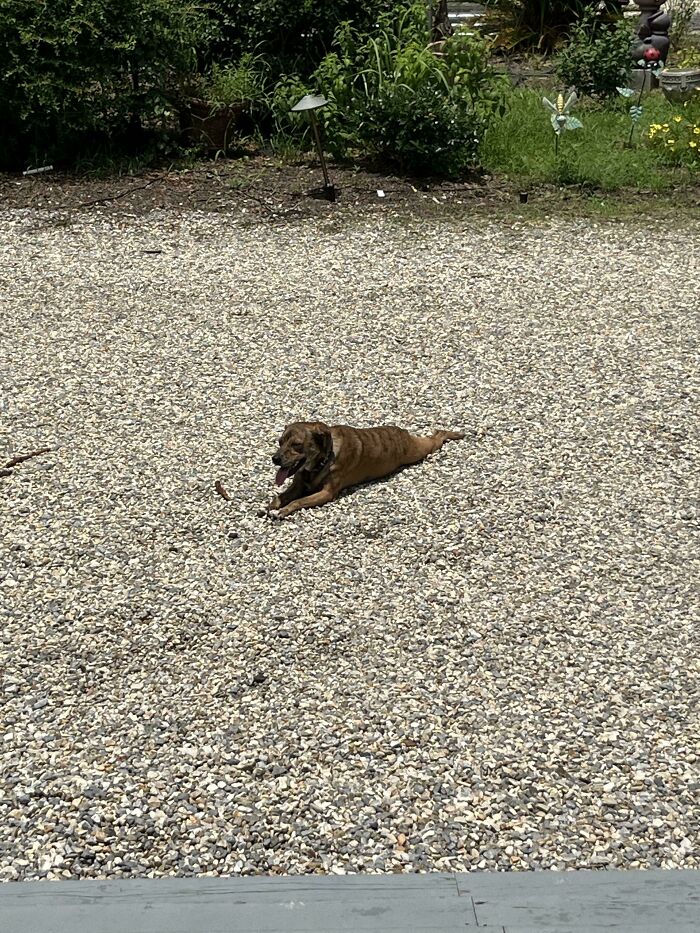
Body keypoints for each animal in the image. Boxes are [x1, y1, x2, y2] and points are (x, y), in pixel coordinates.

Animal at [262, 420, 464, 516]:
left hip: (418, 450)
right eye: (280, 442)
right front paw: (271, 506)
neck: (322, 460)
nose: (275, 459)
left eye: (297, 445)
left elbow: (298, 501)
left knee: (438, 436)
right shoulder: (298, 485)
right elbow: (279, 497)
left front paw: (284, 510)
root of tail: (401, 431)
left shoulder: (326, 493)